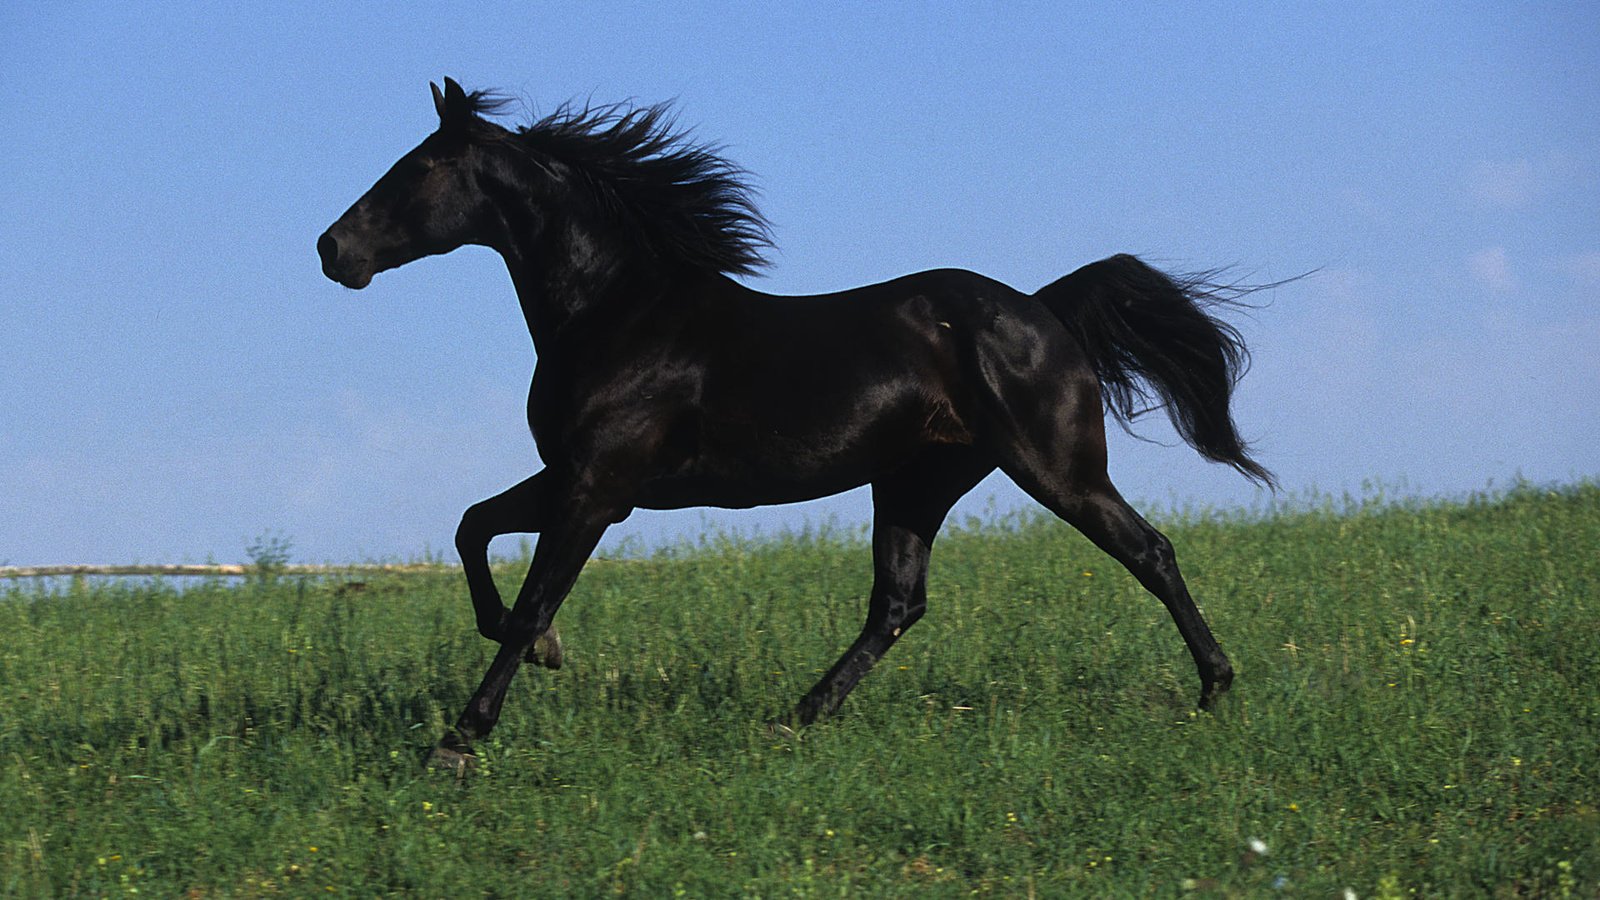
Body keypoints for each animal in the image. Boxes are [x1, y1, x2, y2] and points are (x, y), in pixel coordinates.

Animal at [318, 78, 1273, 762]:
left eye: (418, 169)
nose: (333, 250)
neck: (615, 312)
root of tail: (1045, 311)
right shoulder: (578, 480)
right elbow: (473, 528)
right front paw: (549, 654)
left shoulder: (596, 489)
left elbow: (527, 597)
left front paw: (462, 737)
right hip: (916, 482)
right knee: (897, 604)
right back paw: (799, 716)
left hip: (1056, 469)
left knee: (1149, 551)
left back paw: (1217, 688)